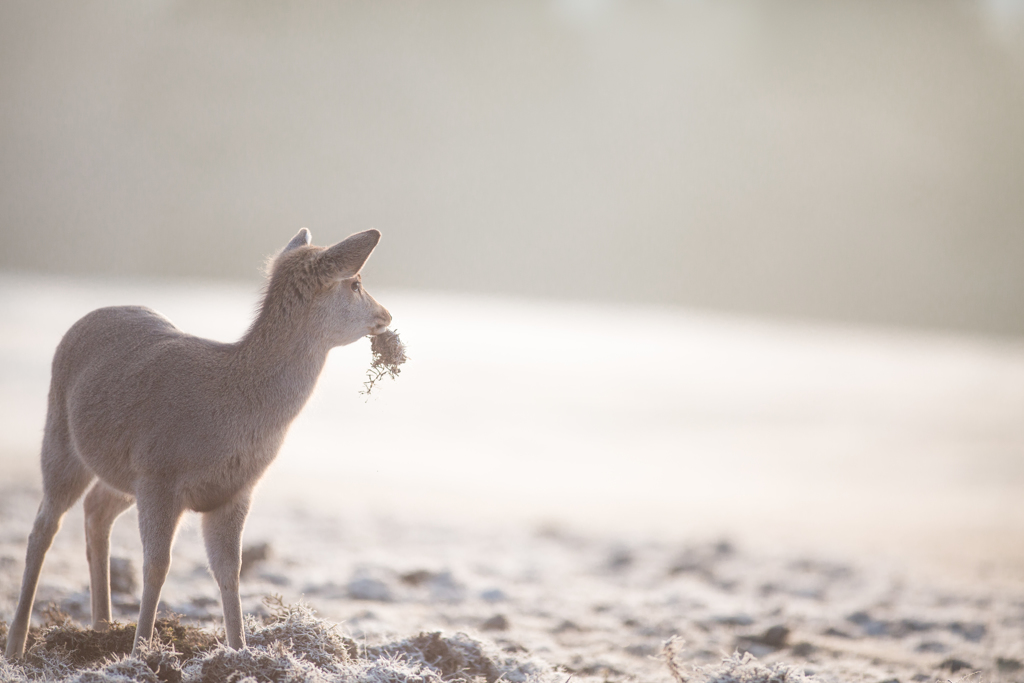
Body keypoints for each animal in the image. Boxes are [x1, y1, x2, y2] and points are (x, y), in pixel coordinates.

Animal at [4, 229, 387, 663]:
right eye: (356, 283)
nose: (386, 315)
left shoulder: (233, 491)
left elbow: (229, 571)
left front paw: (240, 652)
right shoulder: (159, 473)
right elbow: (157, 566)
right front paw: (142, 652)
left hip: (124, 475)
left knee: (96, 508)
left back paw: (102, 627)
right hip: (61, 438)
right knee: (44, 526)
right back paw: (17, 645)